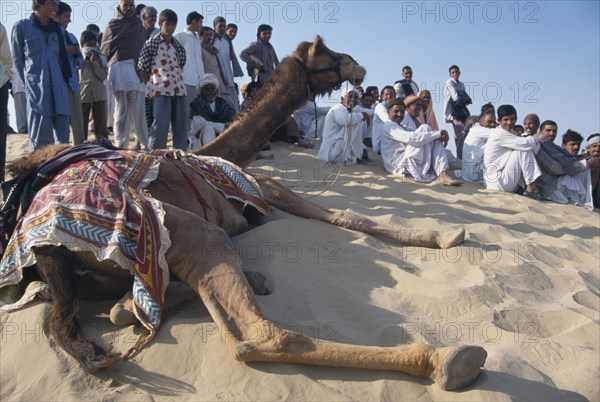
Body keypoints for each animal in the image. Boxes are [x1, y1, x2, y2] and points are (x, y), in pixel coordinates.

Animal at [0, 37, 486, 390]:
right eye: (327, 53)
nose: (358, 67)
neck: (215, 154)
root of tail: (37, 238)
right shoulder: (265, 189)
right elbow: (347, 217)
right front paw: (445, 236)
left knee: (117, 309)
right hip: (182, 232)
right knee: (258, 337)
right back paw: (448, 360)